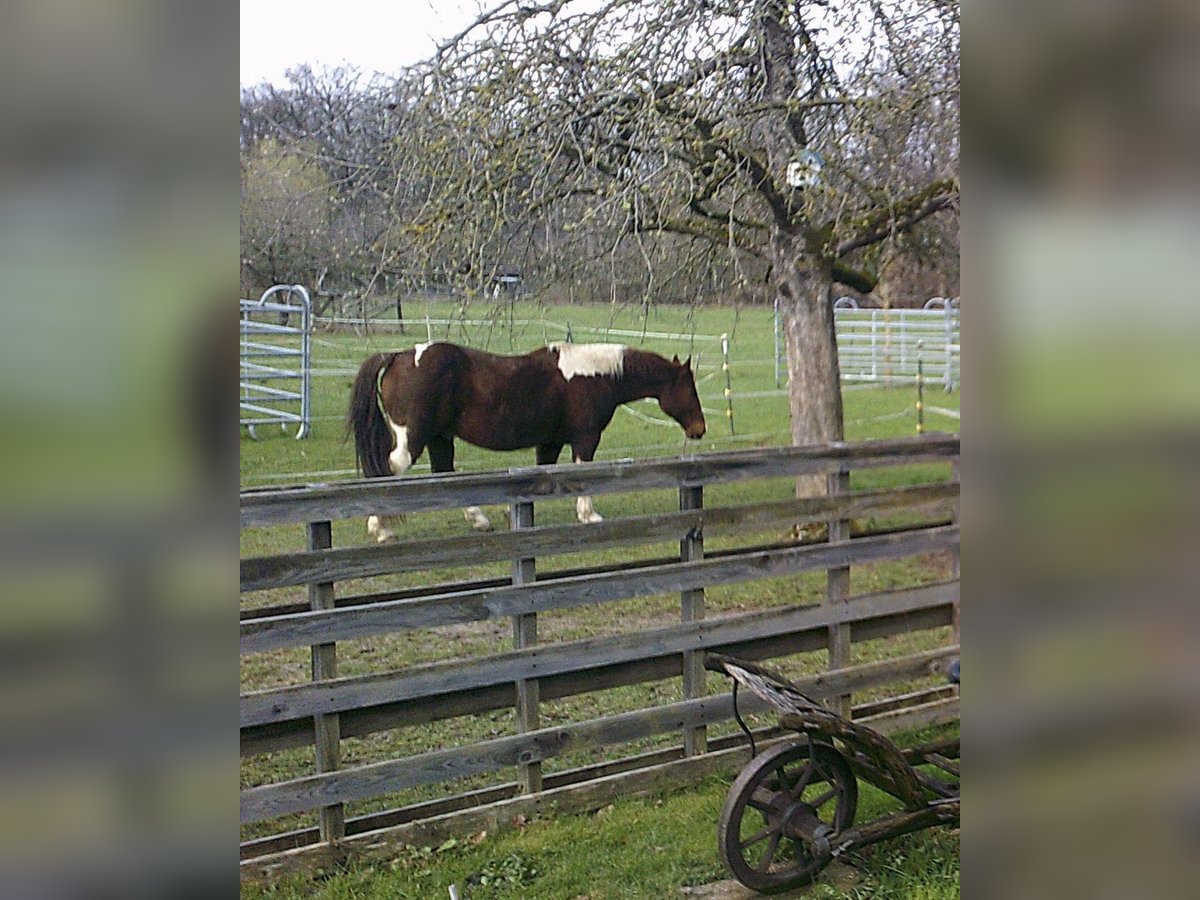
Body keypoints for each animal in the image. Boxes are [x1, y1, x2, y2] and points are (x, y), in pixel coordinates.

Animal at [347, 341, 706, 540]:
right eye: (689, 388)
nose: (699, 429)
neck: (595, 374)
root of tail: (397, 356)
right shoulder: (585, 438)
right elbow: (581, 475)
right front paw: (588, 515)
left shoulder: (551, 441)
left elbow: (544, 473)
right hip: (414, 438)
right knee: (389, 471)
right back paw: (381, 529)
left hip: (439, 437)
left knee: (444, 473)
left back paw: (479, 521)